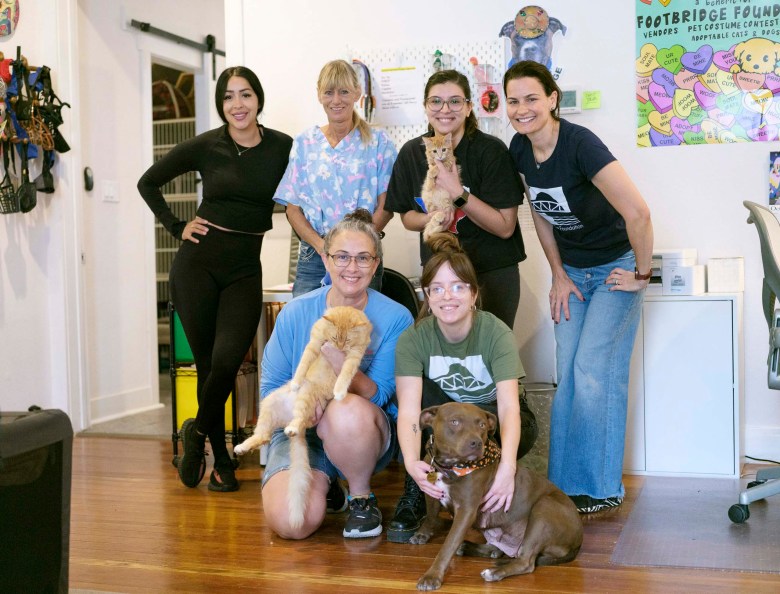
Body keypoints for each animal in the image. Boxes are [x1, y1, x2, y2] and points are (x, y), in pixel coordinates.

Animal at [412, 400, 580, 588]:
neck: (450, 467)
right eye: (454, 422)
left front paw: (432, 576)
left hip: (544, 508)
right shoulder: (431, 491)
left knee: (526, 562)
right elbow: (431, 515)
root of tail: (578, 542)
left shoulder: (466, 511)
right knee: (499, 549)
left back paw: (494, 572)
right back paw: (471, 547)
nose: (476, 443)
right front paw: (423, 533)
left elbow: (448, 544)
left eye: (482, 425)